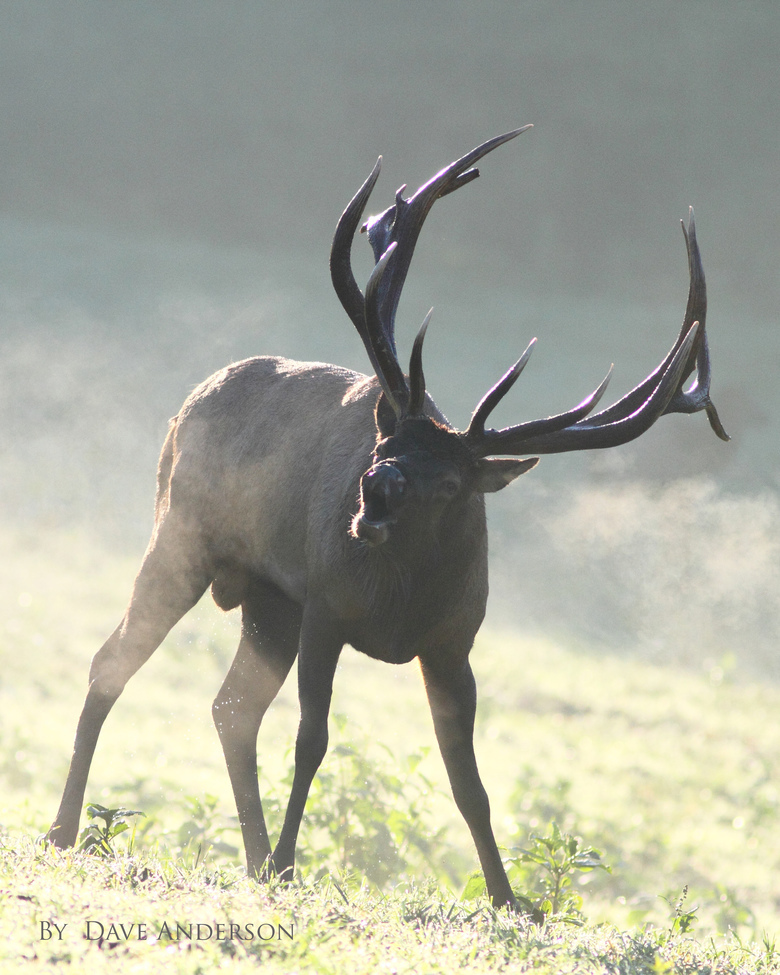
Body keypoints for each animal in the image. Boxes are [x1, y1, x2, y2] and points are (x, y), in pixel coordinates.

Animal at [48, 126, 728, 910]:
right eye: (384, 445)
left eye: (450, 481)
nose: (373, 493)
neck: (401, 602)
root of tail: (188, 401)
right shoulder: (326, 608)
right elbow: (312, 740)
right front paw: (291, 865)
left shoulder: (453, 643)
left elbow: (470, 783)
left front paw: (510, 899)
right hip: (183, 539)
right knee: (114, 662)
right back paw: (67, 829)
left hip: (269, 602)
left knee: (231, 707)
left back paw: (249, 857)